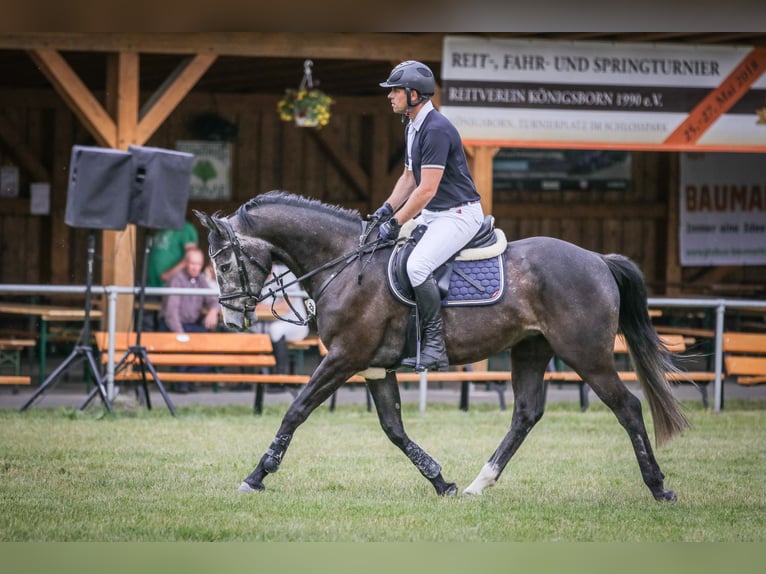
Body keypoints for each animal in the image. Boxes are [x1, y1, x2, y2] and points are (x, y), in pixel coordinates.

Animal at [198, 191, 688, 502]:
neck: (345, 262)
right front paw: (440, 482)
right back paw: (478, 484)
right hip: (531, 349)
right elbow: (394, 428)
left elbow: (295, 411)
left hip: (587, 355)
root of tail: (598, 260)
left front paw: (256, 476)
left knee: (627, 407)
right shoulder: (374, 367)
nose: (232, 319)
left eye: (224, 263)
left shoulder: (343, 358)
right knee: (526, 413)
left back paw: (658, 486)